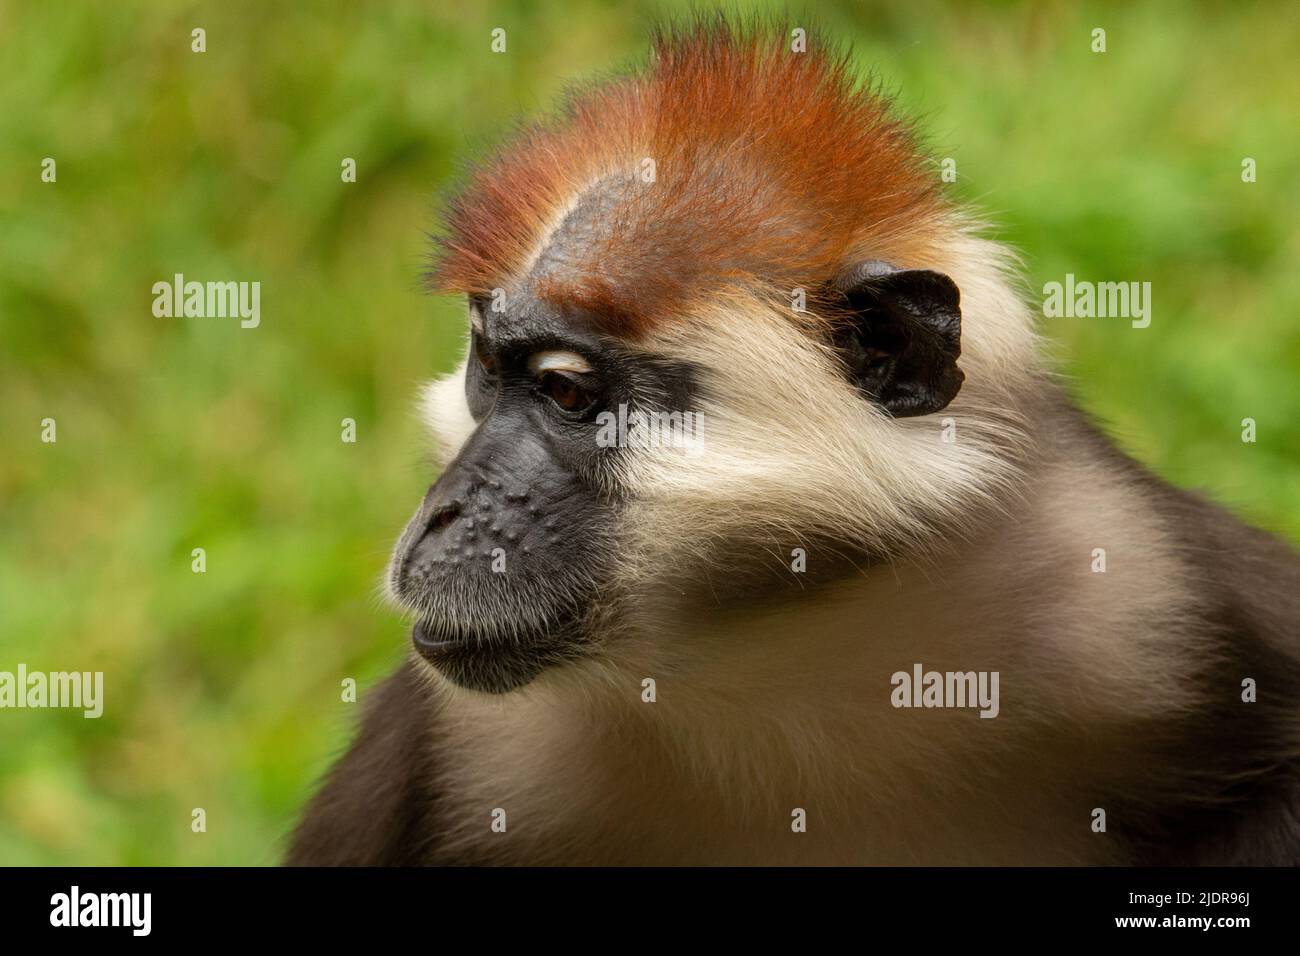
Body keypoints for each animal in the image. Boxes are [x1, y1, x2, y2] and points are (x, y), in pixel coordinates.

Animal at [284, 16, 1300, 868]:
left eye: (566, 393)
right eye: (486, 369)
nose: (442, 514)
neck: (772, 644)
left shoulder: (1136, 585)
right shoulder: (460, 741)